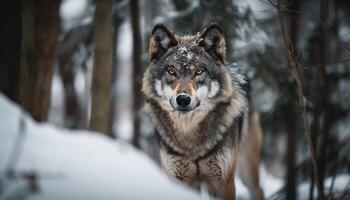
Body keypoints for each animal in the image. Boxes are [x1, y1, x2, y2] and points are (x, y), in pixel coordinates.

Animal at [141, 23, 264, 200]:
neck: (190, 139)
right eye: (171, 71)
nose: (183, 99)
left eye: (199, 71)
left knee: (259, 190)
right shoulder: (179, 179)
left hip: (247, 168)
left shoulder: (223, 182)